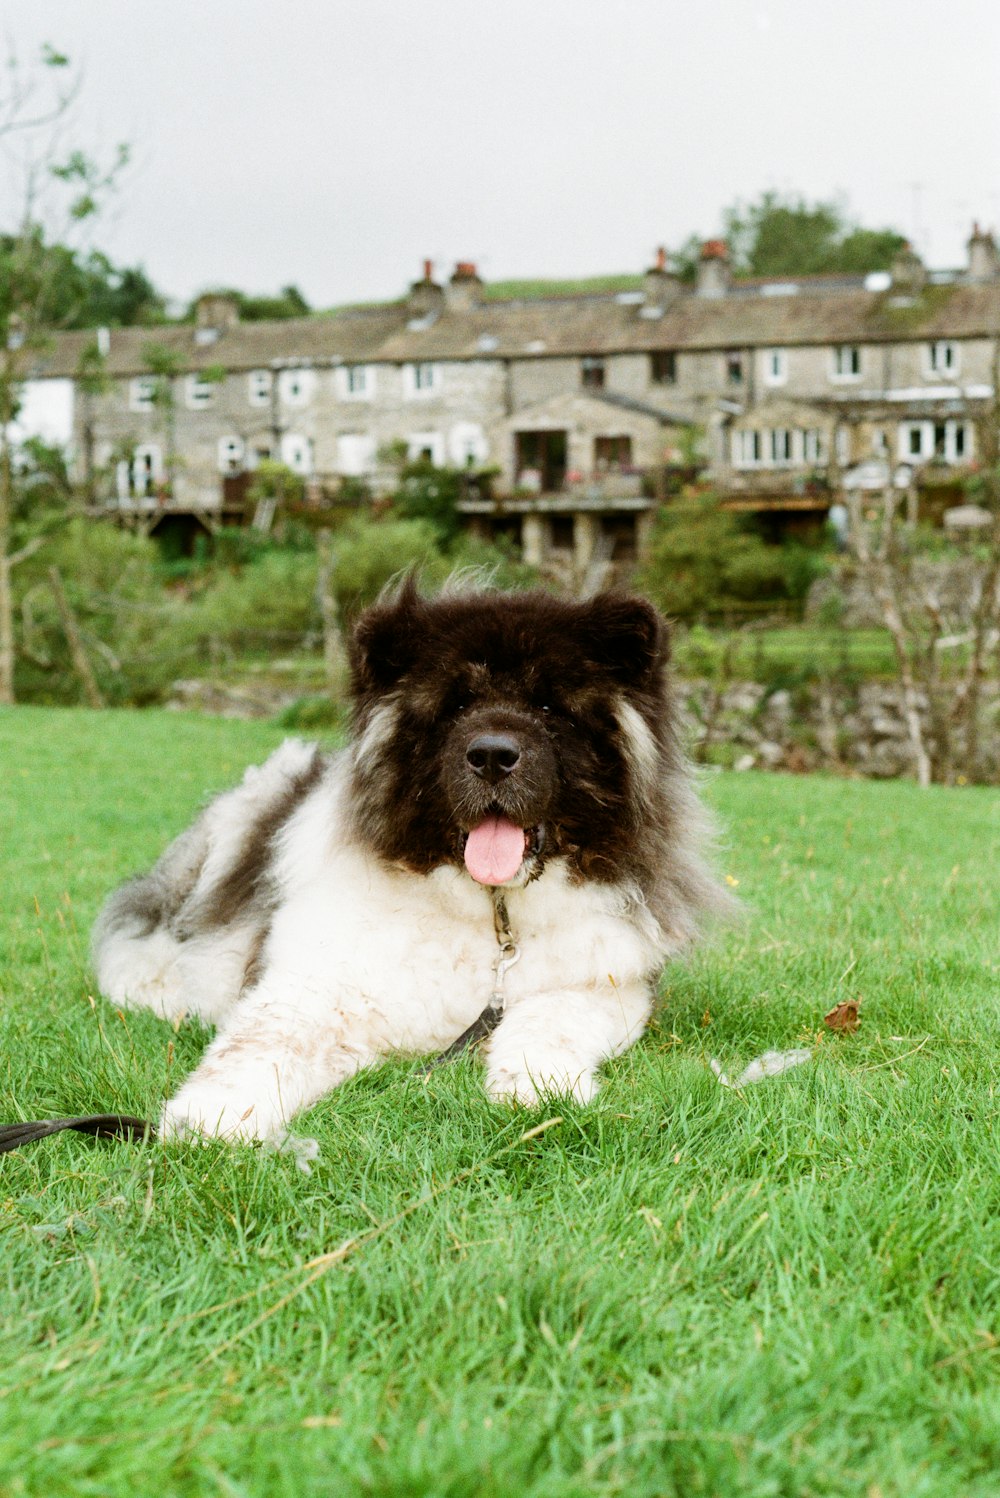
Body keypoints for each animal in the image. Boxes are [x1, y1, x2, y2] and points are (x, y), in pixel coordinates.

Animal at [91, 578, 727, 1138]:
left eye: (549, 706)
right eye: (458, 704)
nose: (492, 755)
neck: (492, 913)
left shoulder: (607, 988)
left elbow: (548, 1021)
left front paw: (536, 1090)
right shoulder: (313, 988)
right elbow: (258, 1046)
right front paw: (207, 1120)